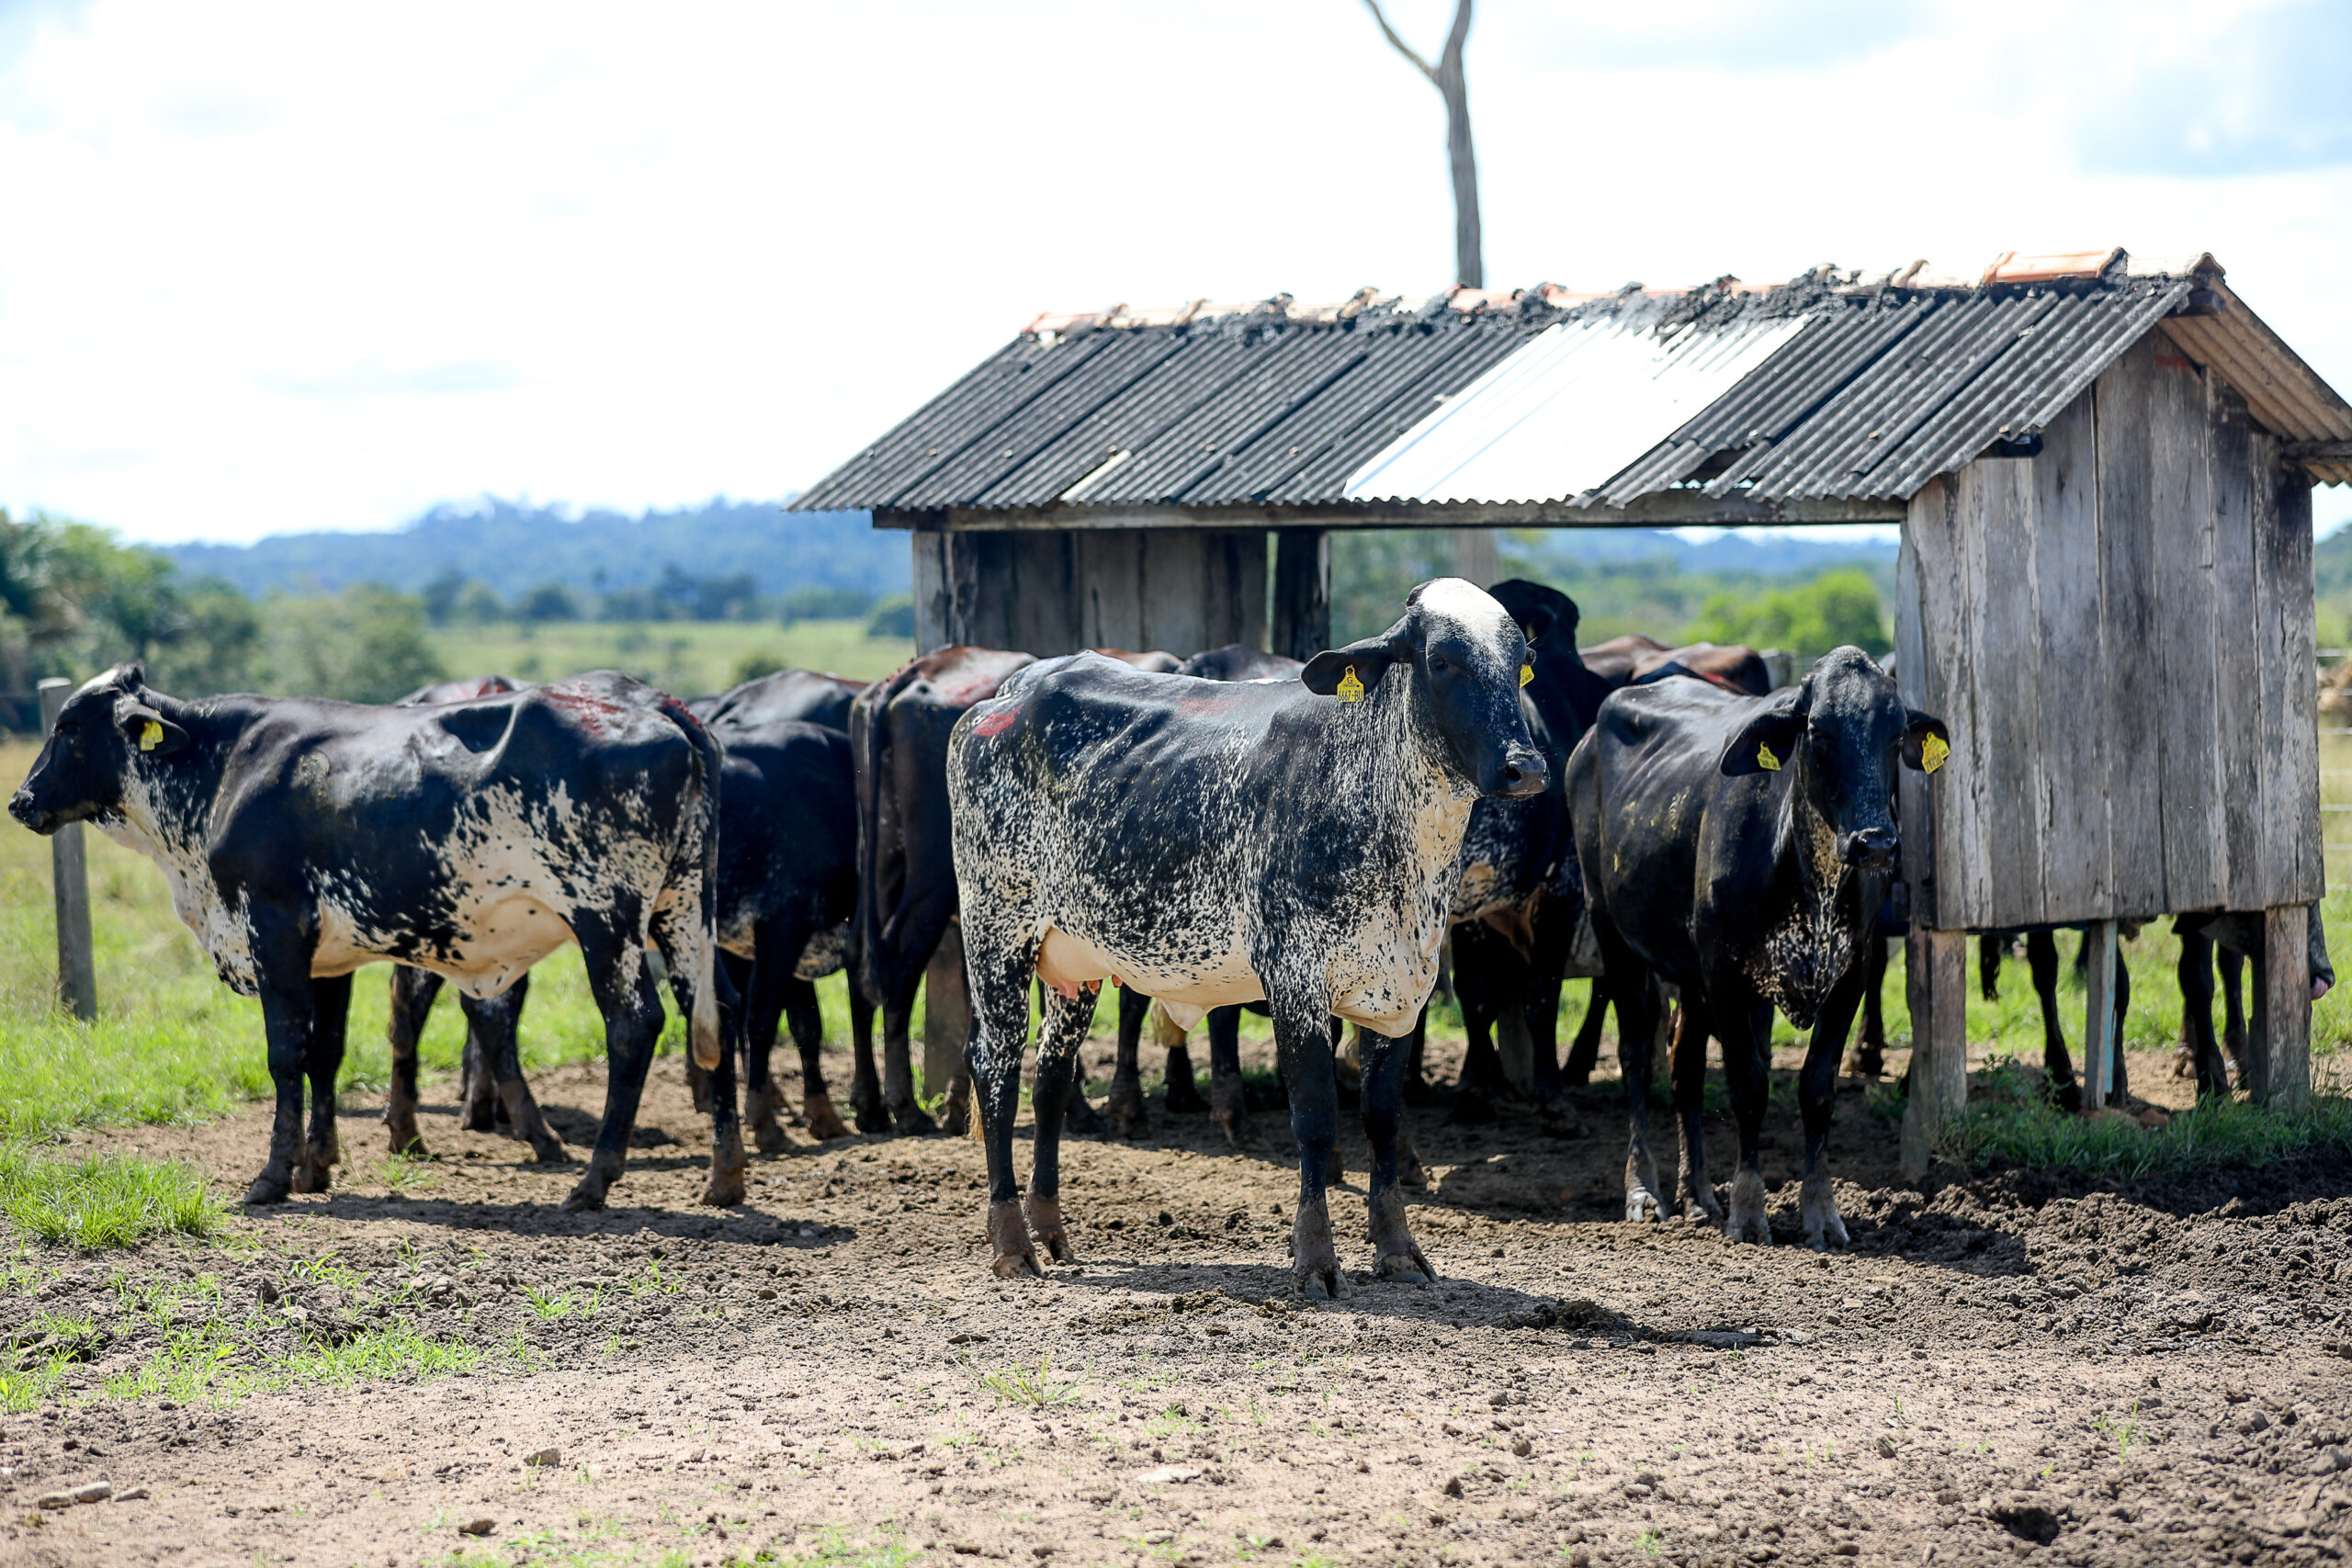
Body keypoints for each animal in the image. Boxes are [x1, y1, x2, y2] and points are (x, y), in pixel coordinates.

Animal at [6, 662, 724, 1213]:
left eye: (68, 728)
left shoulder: (272, 928)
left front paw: (273, 1176)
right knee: (708, 1018)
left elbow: (285, 1055)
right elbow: (326, 1053)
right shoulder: (327, 954)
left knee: (633, 1024)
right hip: (682, 913)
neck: (220, 768)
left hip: (606, 919)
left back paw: (593, 1180)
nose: (20, 800)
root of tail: (657, 707)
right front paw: (314, 1164)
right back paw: (727, 1177)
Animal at [945, 582, 1552, 1297]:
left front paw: (1399, 1250)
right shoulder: (1295, 980)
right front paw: (1315, 1259)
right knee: (996, 1069)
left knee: (1051, 1078)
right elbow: (1315, 1118)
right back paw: (1013, 1243)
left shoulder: (1404, 991)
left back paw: (1052, 1231)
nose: (1526, 767)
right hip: (997, 930)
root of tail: (1011, 691)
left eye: (1521, 661)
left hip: (1075, 959)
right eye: (1441, 661)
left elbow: (1382, 1118)